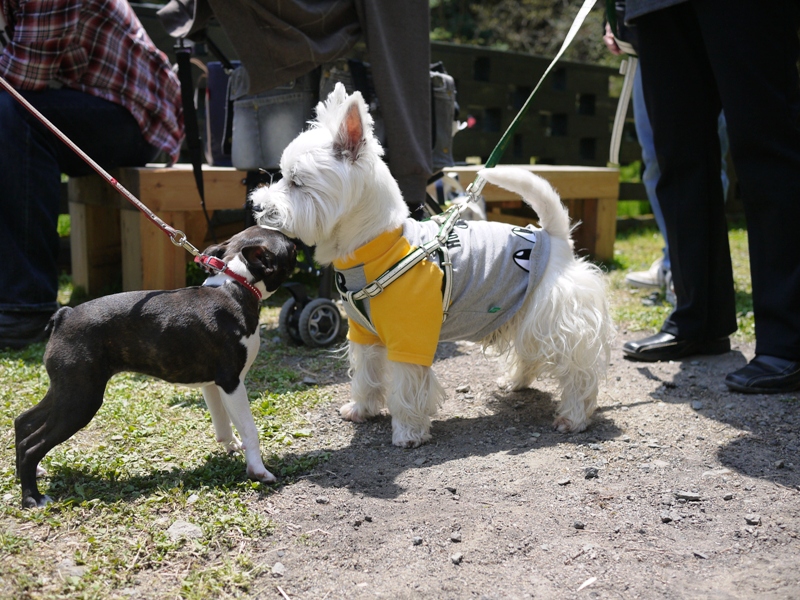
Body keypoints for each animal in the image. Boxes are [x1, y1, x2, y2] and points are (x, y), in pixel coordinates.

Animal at [14, 225, 296, 506]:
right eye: (291, 248)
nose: (298, 241)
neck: (237, 284)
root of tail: (65, 315)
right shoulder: (232, 382)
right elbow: (250, 429)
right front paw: (259, 471)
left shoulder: (214, 385)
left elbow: (222, 422)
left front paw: (232, 447)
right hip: (81, 401)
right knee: (32, 445)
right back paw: (32, 497)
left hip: (68, 389)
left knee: (23, 421)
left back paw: (28, 474)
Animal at [253, 85, 616, 450]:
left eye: (297, 181)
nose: (256, 205)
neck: (373, 250)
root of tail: (554, 238)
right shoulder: (363, 333)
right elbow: (366, 375)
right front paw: (361, 410)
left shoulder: (410, 336)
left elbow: (406, 387)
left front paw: (407, 433)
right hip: (523, 313)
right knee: (530, 353)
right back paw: (515, 381)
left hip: (556, 320)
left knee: (578, 372)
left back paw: (573, 417)